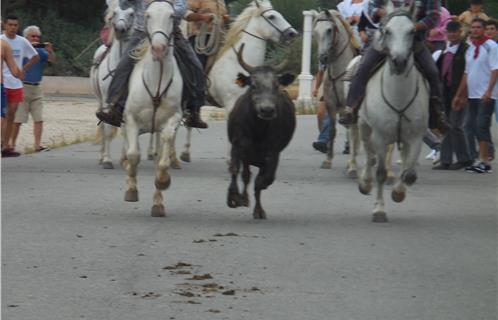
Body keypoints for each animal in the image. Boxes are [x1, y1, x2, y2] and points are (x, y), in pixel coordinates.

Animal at [90, 0, 134, 169]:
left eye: (131, 13)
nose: (120, 29)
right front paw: (107, 160)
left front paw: (125, 159)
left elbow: (126, 129)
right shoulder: (108, 102)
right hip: (100, 100)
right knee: (103, 127)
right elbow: (108, 130)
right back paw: (102, 157)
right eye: (114, 13)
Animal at [120, 0, 183, 218]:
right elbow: (133, 155)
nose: (158, 49)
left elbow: (162, 163)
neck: (156, 81)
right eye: (147, 15)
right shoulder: (131, 120)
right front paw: (131, 189)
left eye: (172, 16)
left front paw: (163, 184)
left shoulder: (172, 120)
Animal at [312, 11, 358, 172]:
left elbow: (352, 132)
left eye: (329, 30)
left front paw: (351, 164)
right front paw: (327, 160)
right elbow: (332, 129)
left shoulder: (350, 107)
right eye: (315, 32)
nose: (322, 58)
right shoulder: (330, 105)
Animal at [358, 1, 428, 222]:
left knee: (403, 160)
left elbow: (409, 174)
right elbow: (380, 171)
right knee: (369, 155)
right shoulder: (379, 136)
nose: (399, 61)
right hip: (364, 126)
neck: (399, 96)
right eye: (387, 31)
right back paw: (364, 183)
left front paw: (398, 193)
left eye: (412, 31)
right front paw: (379, 210)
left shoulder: (415, 136)